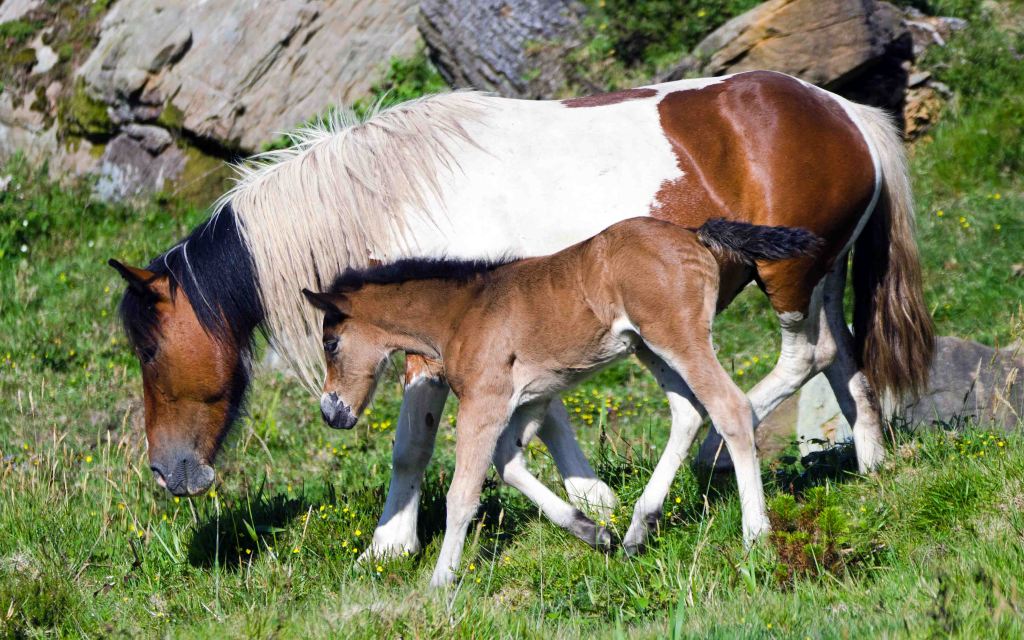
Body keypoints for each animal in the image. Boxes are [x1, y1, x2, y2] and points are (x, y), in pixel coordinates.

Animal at [302, 217, 822, 586]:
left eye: (331, 343)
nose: (332, 413)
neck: (463, 312)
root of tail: (694, 235)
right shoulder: (528, 401)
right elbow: (509, 465)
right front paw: (594, 531)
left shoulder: (484, 403)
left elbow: (462, 494)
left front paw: (440, 583)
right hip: (648, 347)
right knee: (688, 412)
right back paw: (636, 531)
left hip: (677, 336)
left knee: (731, 408)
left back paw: (756, 538)